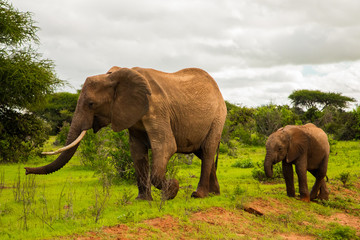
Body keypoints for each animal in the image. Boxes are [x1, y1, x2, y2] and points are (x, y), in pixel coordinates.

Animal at [25, 66, 226, 200]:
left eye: (91, 104)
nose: (26, 170)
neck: (114, 77)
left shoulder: (156, 109)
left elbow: (166, 146)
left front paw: (172, 189)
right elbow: (137, 152)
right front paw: (142, 200)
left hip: (218, 117)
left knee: (207, 150)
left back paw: (198, 195)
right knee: (202, 153)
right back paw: (215, 193)